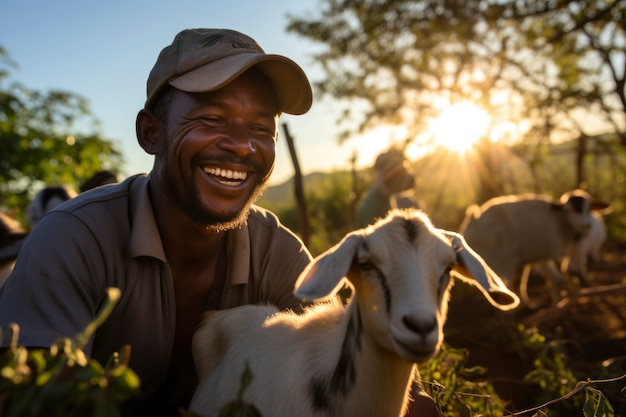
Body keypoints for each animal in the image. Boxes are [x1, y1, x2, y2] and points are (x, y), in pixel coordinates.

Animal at [456, 189, 608, 306]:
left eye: (589, 209)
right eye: (570, 210)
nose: (587, 226)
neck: (560, 222)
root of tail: (470, 223)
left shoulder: (530, 258)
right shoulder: (542, 254)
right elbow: (558, 279)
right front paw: (556, 304)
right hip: (501, 262)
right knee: (500, 289)